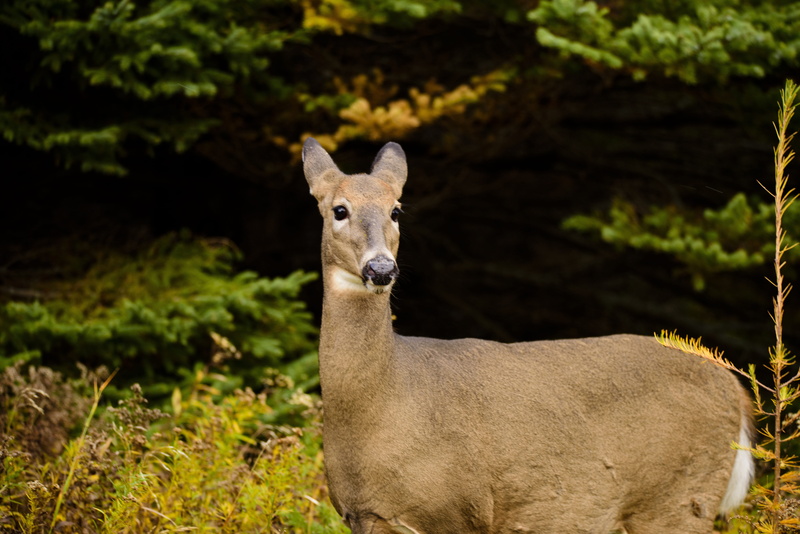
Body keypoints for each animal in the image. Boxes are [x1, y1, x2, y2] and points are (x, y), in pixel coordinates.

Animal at [301, 137, 755, 534]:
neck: (385, 406)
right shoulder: (364, 515)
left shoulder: (461, 509)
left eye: (396, 210)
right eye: (339, 209)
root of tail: (734, 389)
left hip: (679, 496)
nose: (381, 268)